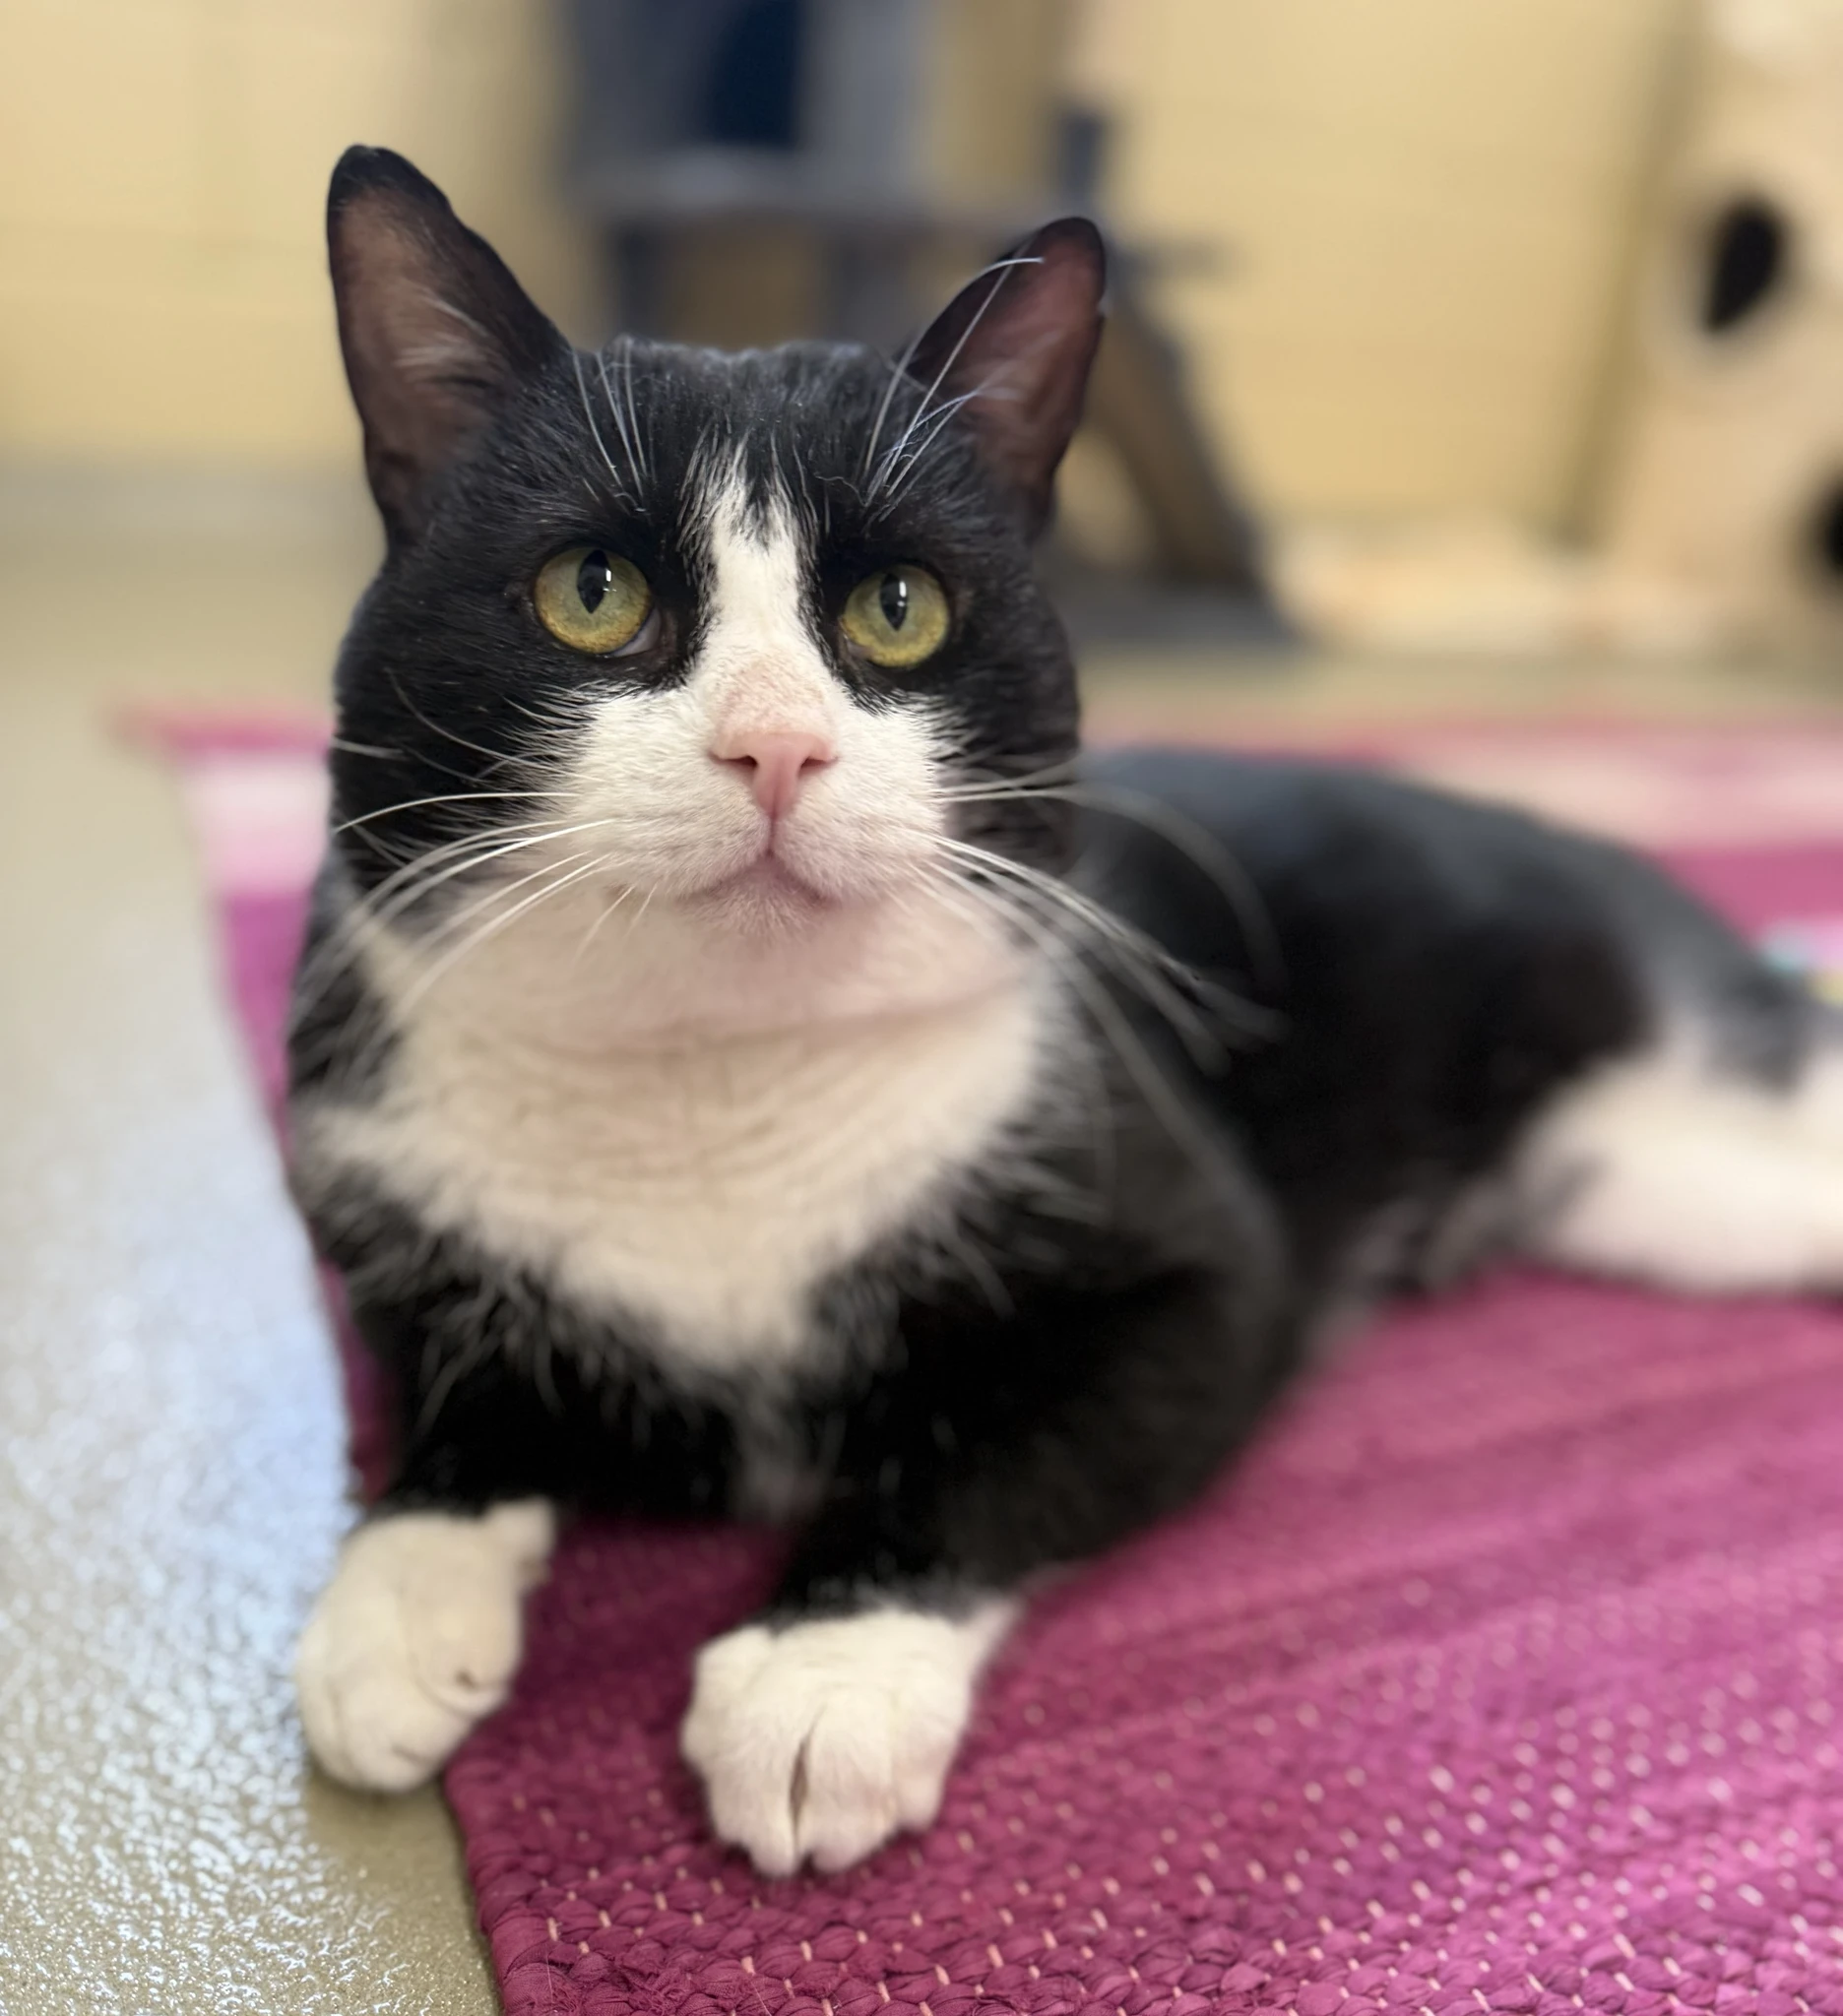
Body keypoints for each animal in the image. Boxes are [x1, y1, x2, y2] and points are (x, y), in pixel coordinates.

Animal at [290, 145, 1843, 1878]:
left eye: (900, 608)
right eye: (592, 589)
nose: (775, 745)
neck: (719, 1065)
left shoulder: (1192, 1276)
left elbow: (992, 1448)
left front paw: (827, 1677)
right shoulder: (397, 1229)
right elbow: (450, 1411)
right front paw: (392, 1608)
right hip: (1663, 1189)